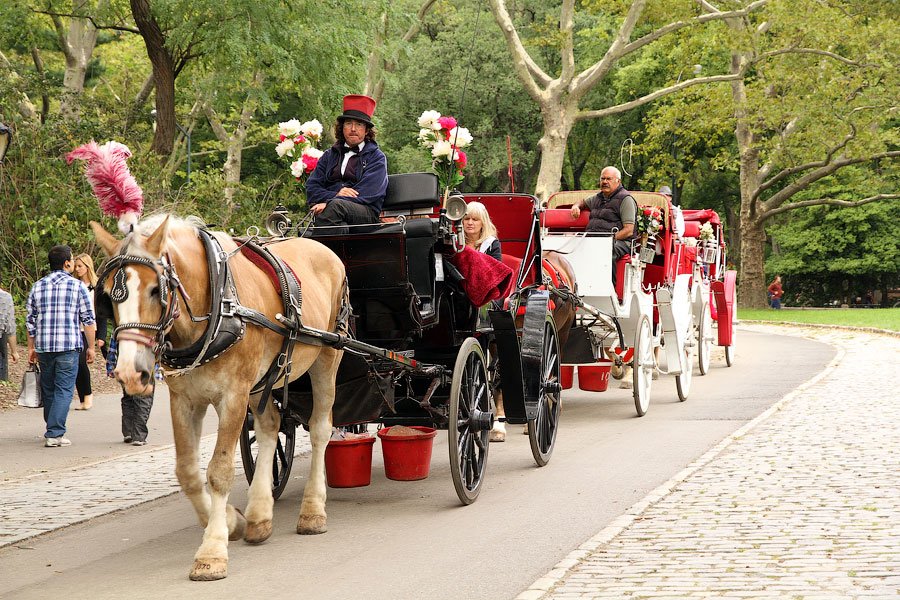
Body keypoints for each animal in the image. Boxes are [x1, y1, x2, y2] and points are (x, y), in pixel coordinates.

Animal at [91, 216, 344, 580]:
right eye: (109, 295)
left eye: (155, 290)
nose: (129, 373)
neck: (213, 308)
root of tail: (322, 249)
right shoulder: (185, 400)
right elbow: (188, 472)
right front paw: (230, 521)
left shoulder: (233, 395)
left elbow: (219, 471)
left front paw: (212, 551)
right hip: (262, 382)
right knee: (270, 428)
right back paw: (259, 515)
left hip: (327, 358)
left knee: (321, 428)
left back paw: (312, 511)